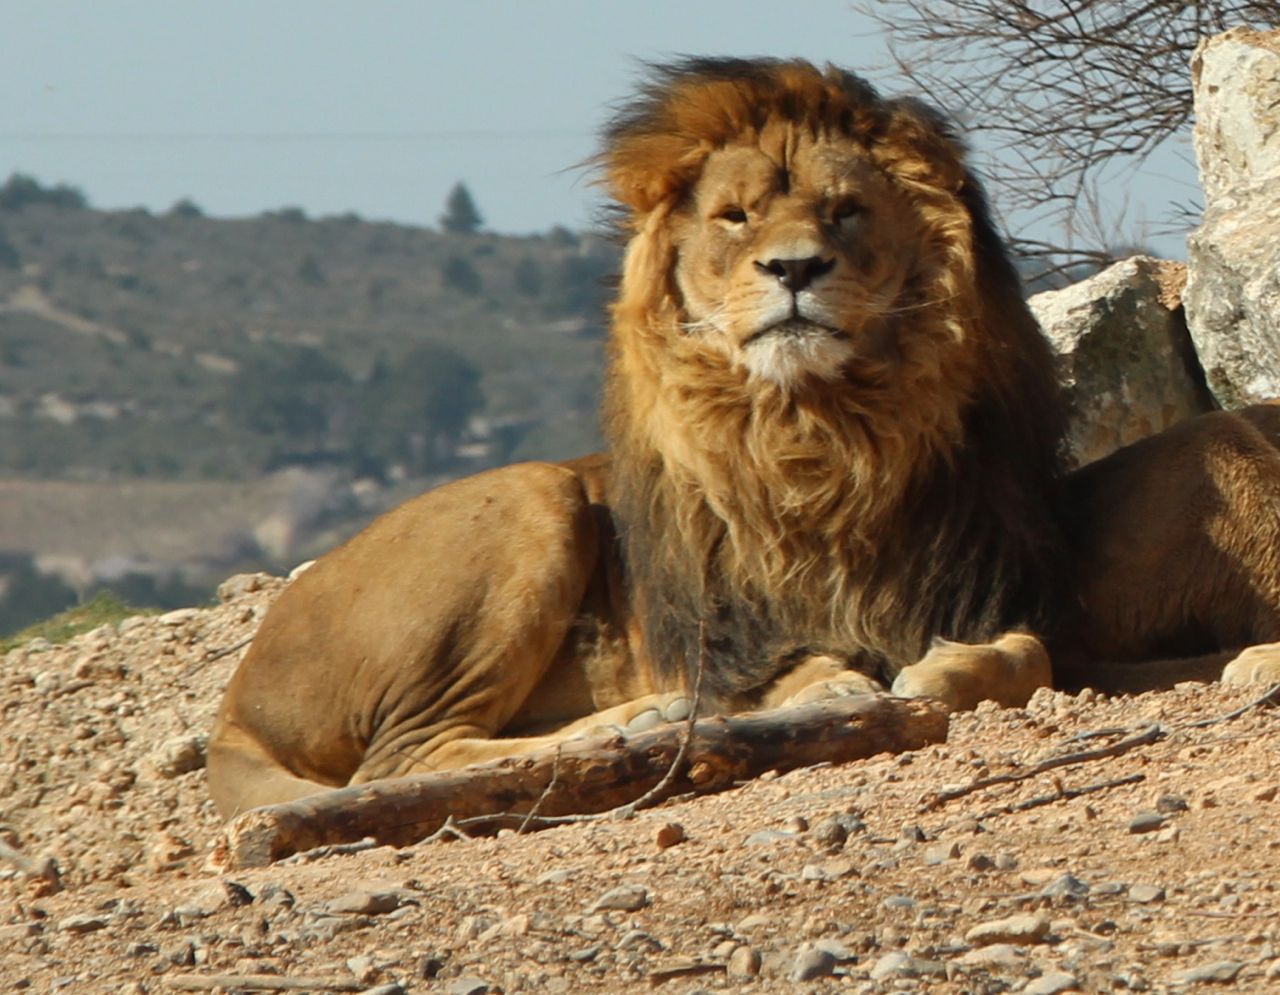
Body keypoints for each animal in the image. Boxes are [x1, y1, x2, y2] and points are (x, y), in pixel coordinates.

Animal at [208, 58, 1280, 819]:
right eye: (733, 217)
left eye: (846, 211)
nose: (795, 267)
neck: (824, 442)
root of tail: (234, 703)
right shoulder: (738, 639)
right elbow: (806, 669)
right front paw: (833, 690)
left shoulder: (1003, 593)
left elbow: (1025, 658)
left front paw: (944, 670)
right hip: (530, 499)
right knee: (404, 756)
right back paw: (638, 722)